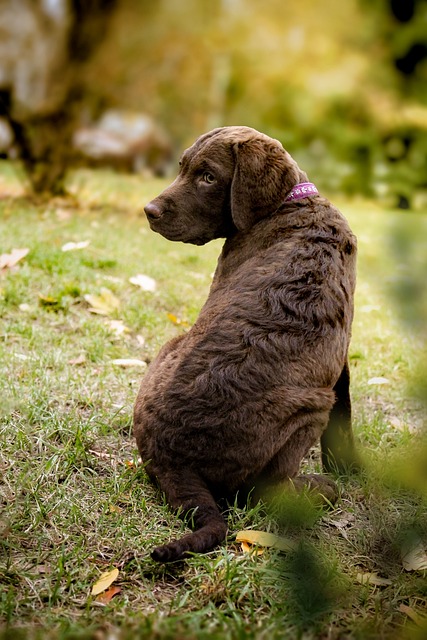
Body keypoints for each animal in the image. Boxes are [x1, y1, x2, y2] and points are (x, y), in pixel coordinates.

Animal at [134, 127, 358, 564]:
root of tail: (173, 461)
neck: (292, 203)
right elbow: (345, 404)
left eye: (208, 177)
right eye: (183, 167)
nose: (149, 211)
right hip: (309, 407)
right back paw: (319, 488)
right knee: (265, 492)